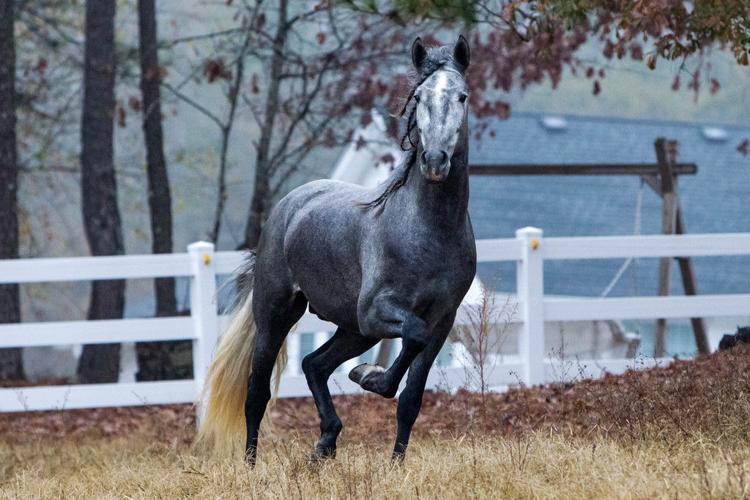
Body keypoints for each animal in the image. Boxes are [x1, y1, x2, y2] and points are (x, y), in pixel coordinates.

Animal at [196, 35, 476, 465]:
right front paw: (368, 376)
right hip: (278, 313)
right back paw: (251, 464)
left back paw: (325, 444)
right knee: (257, 391)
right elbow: (409, 337)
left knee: (314, 365)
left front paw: (396, 464)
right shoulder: (376, 312)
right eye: (419, 97)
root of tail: (289, 204)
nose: (434, 161)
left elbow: (410, 399)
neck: (429, 231)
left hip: (352, 330)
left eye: (461, 96)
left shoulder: (442, 321)